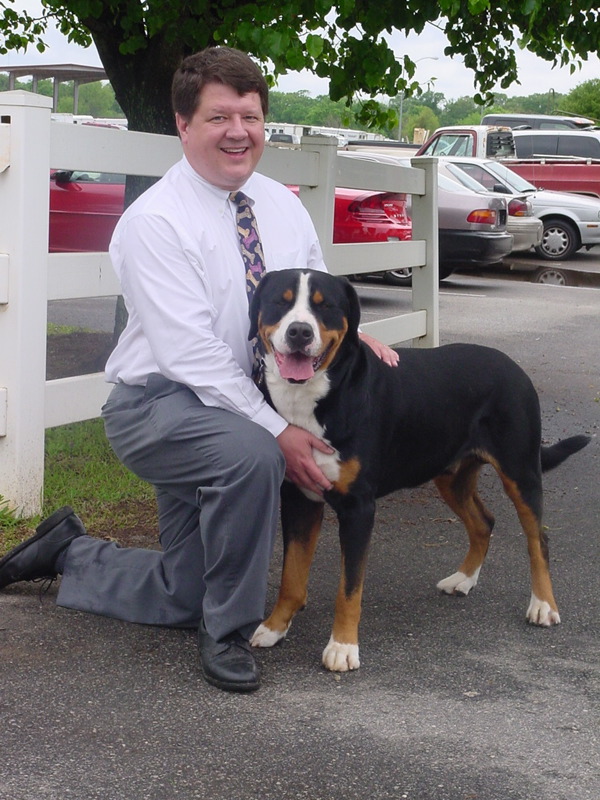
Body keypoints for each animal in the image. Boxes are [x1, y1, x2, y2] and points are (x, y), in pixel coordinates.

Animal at [248, 268, 590, 672]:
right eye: (281, 302)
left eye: (325, 306)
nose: (299, 332)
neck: (314, 397)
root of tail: (511, 365)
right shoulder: (299, 498)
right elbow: (292, 575)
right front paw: (274, 627)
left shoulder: (358, 508)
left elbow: (349, 588)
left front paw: (343, 647)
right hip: (451, 477)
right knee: (483, 522)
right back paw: (463, 579)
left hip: (520, 472)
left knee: (539, 540)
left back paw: (543, 606)